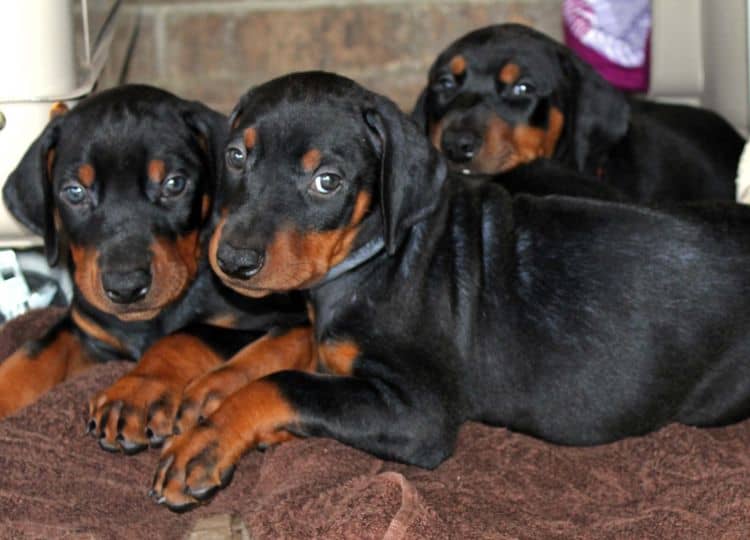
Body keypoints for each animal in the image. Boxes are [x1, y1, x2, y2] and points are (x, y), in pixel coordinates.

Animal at [0, 84, 306, 452]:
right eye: (74, 191)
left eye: (174, 184)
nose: (126, 287)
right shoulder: (87, 328)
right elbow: (32, 354)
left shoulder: (275, 318)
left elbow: (184, 334)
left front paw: (136, 391)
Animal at [145, 71, 750, 510]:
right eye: (236, 156)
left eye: (327, 182)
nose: (232, 260)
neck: (373, 258)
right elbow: (288, 354)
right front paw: (212, 386)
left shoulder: (420, 414)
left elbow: (288, 385)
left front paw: (207, 440)